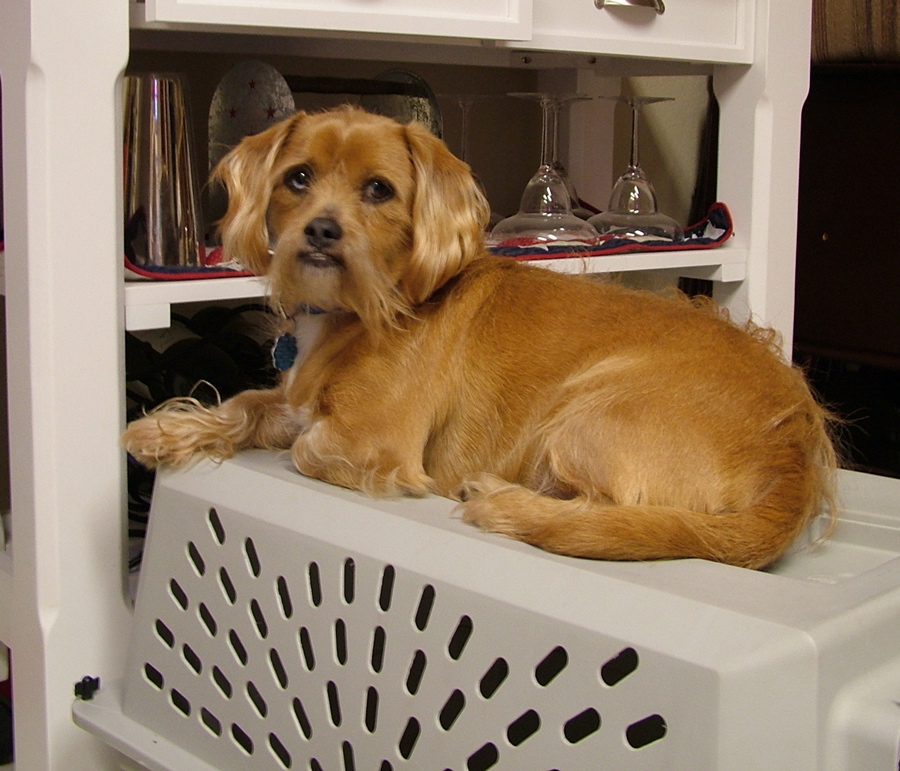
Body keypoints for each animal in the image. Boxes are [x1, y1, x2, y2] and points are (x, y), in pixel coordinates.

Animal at [121, 105, 836, 568]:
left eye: (378, 189)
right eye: (298, 177)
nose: (321, 231)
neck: (360, 306)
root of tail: (793, 455)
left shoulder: (375, 442)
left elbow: (305, 445)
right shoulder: (291, 395)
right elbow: (247, 403)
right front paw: (163, 430)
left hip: (586, 415)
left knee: (609, 514)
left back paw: (509, 501)